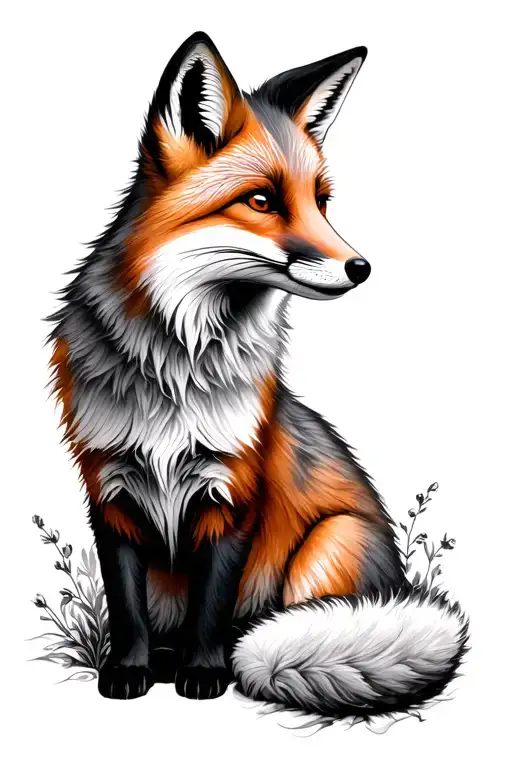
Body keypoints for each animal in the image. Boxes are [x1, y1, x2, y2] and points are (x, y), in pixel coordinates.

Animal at [49, 31, 467, 719]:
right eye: (263, 201)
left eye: (321, 201)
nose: (361, 267)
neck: (179, 375)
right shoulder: (109, 490)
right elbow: (127, 604)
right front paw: (130, 669)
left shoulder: (234, 489)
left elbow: (213, 604)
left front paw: (202, 672)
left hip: (328, 544)